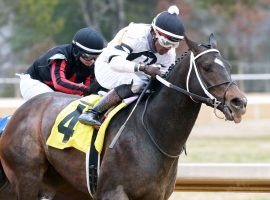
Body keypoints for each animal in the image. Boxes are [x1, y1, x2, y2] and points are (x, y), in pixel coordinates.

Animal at [0, 34, 247, 200]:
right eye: (206, 67)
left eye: (228, 65)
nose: (239, 103)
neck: (153, 133)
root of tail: (17, 115)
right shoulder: (113, 192)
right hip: (27, 179)